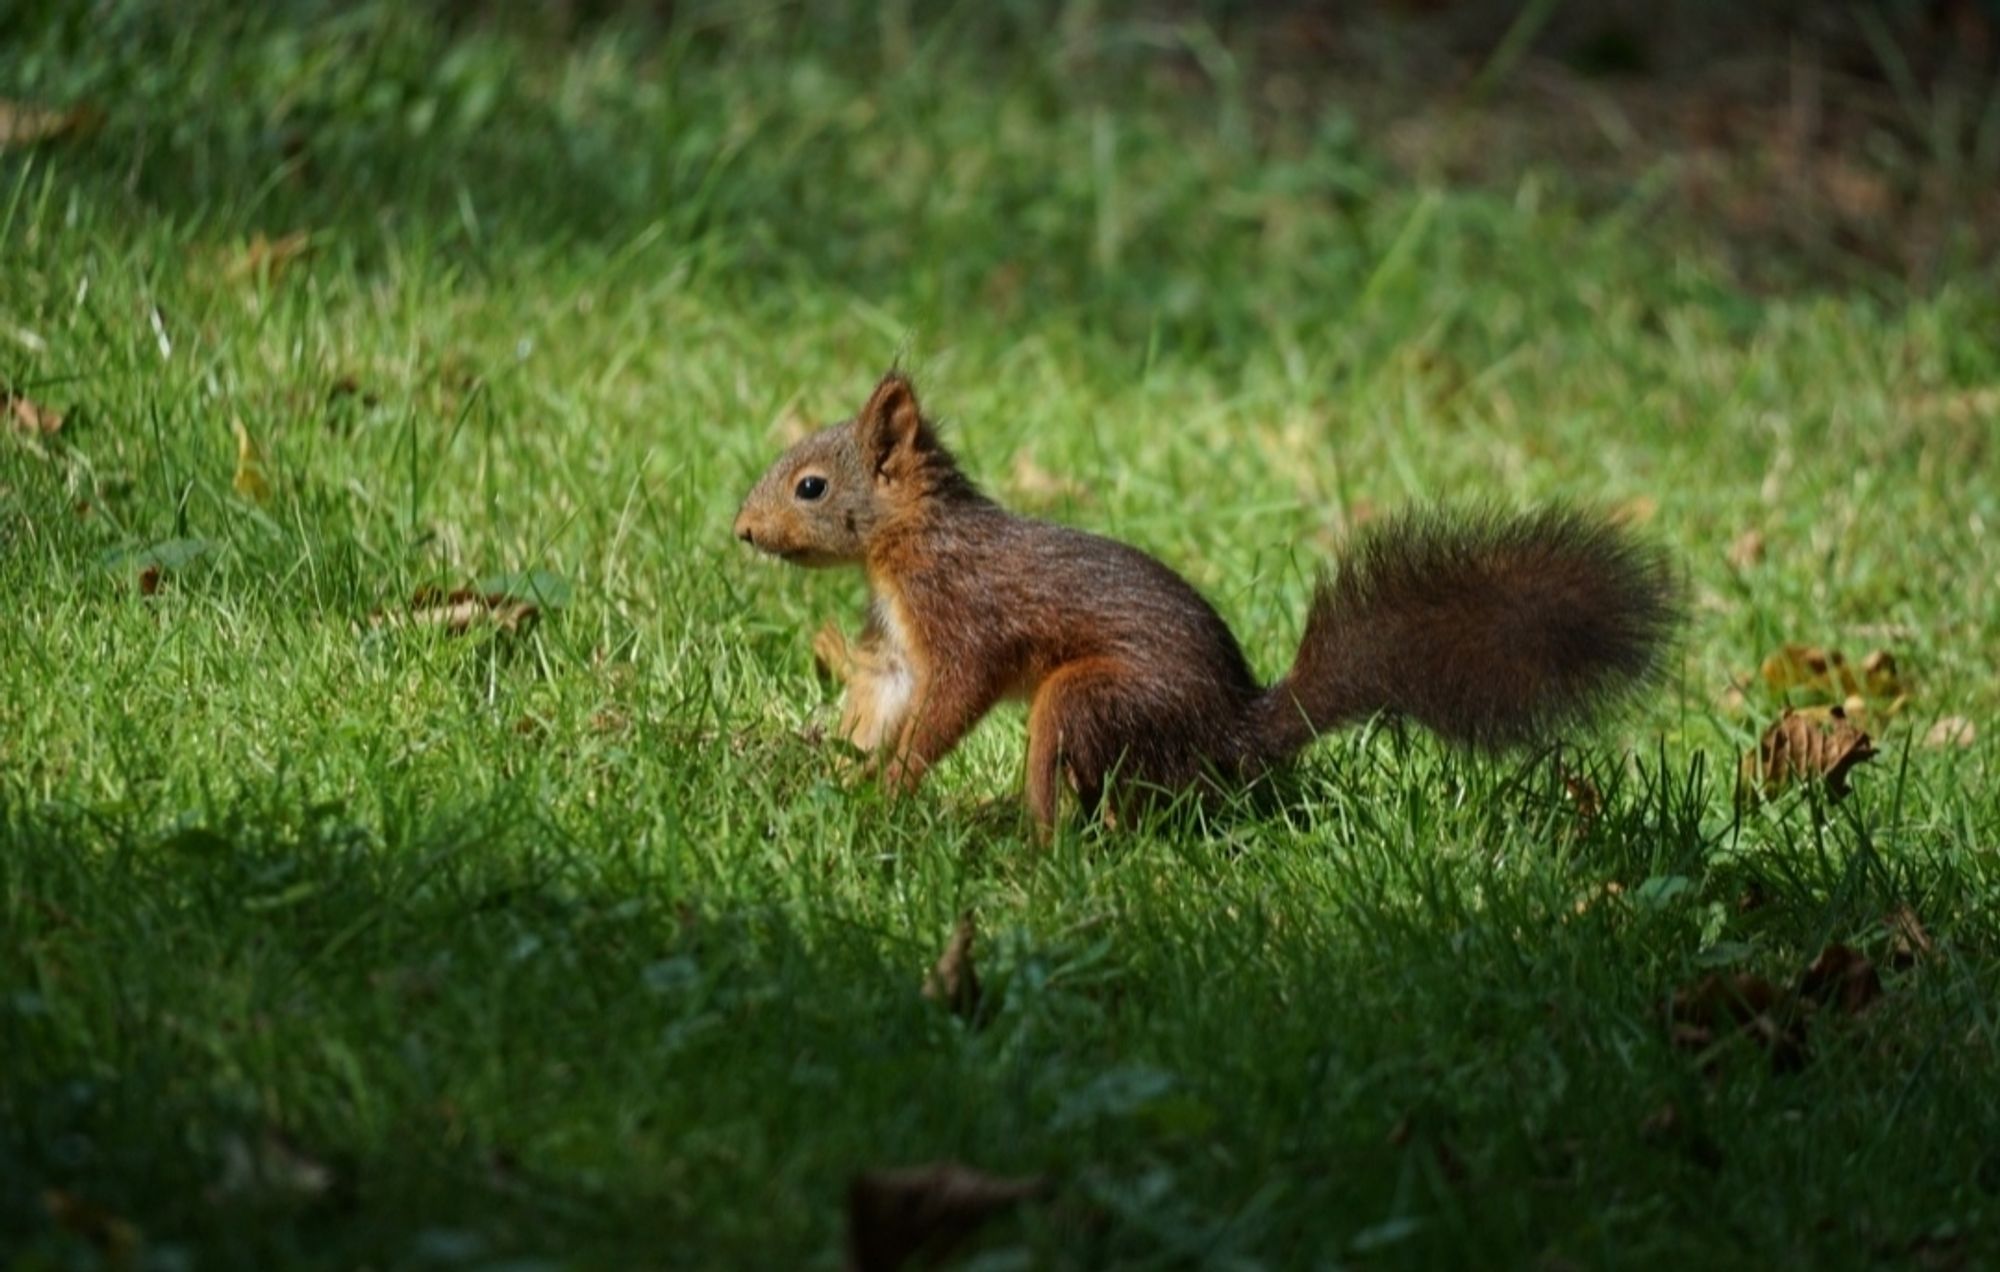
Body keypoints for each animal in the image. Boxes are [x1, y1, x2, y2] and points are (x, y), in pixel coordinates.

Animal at [732, 372, 1672, 840]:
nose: (742, 531)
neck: (910, 540)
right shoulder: (899, 645)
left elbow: (949, 700)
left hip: (1093, 698)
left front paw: (895, 787)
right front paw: (835, 769)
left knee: (1086, 801)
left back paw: (1022, 837)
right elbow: (884, 695)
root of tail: (1232, 732)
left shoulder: (965, 618)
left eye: (811, 487)